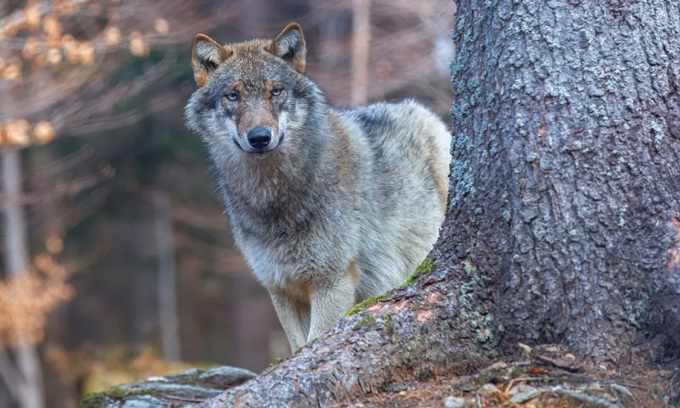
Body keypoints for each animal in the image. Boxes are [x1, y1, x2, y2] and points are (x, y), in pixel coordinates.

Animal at [185, 22, 452, 352]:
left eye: (276, 91)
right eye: (232, 96)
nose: (259, 137)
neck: (274, 198)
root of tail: (418, 108)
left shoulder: (331, 282)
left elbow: (318, 341)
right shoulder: (280, 288)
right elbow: (298, 348)